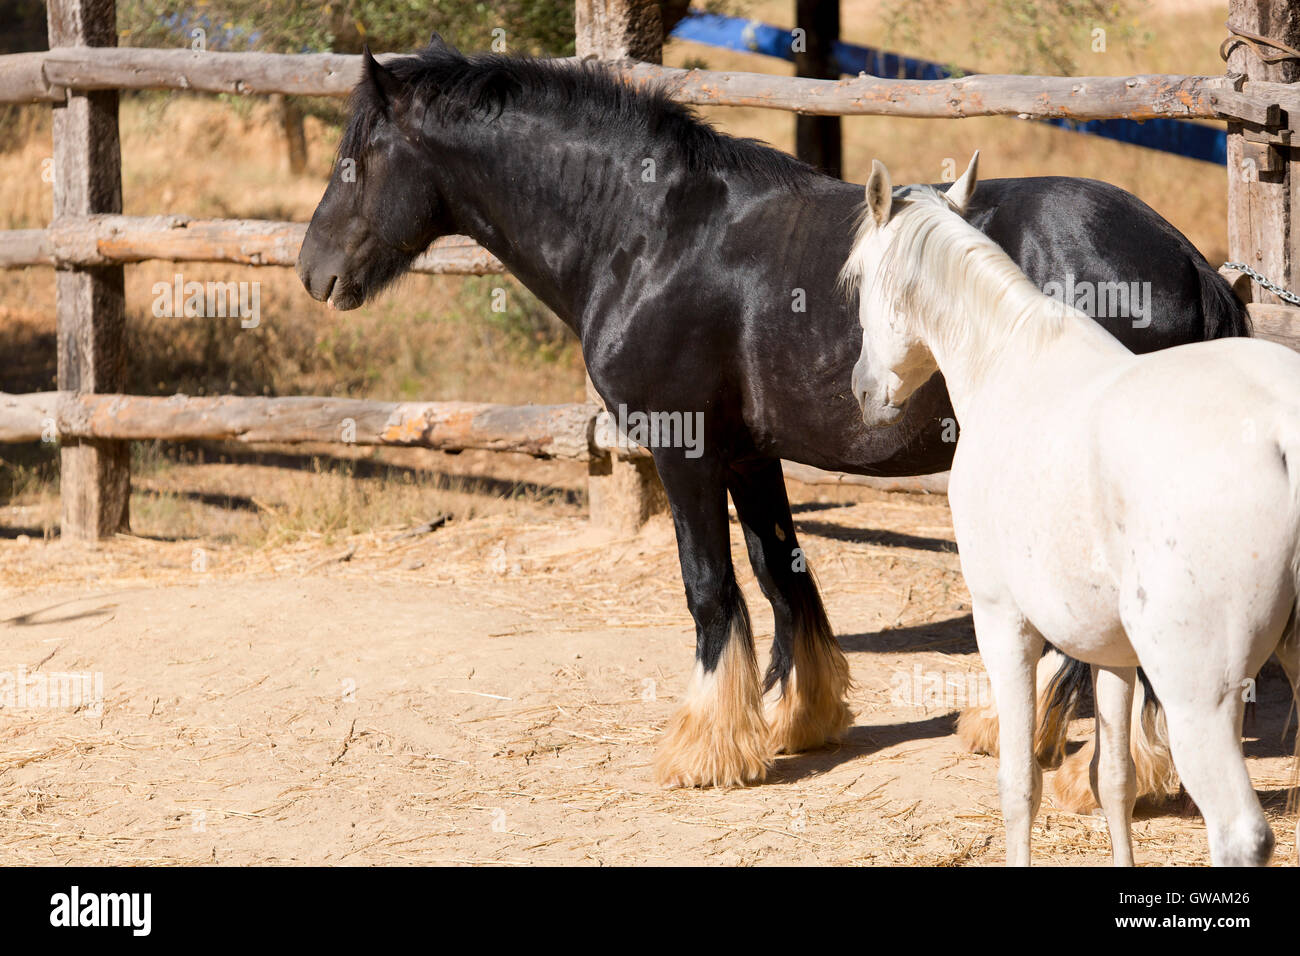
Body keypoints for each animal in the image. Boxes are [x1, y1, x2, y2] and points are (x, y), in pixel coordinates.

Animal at [295, 41, 1248, 790]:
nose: (312, 272)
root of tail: (1187, 260)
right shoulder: (752, 454)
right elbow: (780, 573)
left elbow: (710, 587)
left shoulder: (685, 450)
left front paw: (706, 749)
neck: (650, 236)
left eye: (356, 160)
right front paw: (801, 718)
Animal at [842, 153, 1300, 863]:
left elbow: (1018, 783)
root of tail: (1281, 430)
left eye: (860, 278)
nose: (865, 390)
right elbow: (1115, 781)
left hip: (1199, 697)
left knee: (1239, 833)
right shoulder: (1112, 652)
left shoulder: (1003, 622)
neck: (1011, 361)